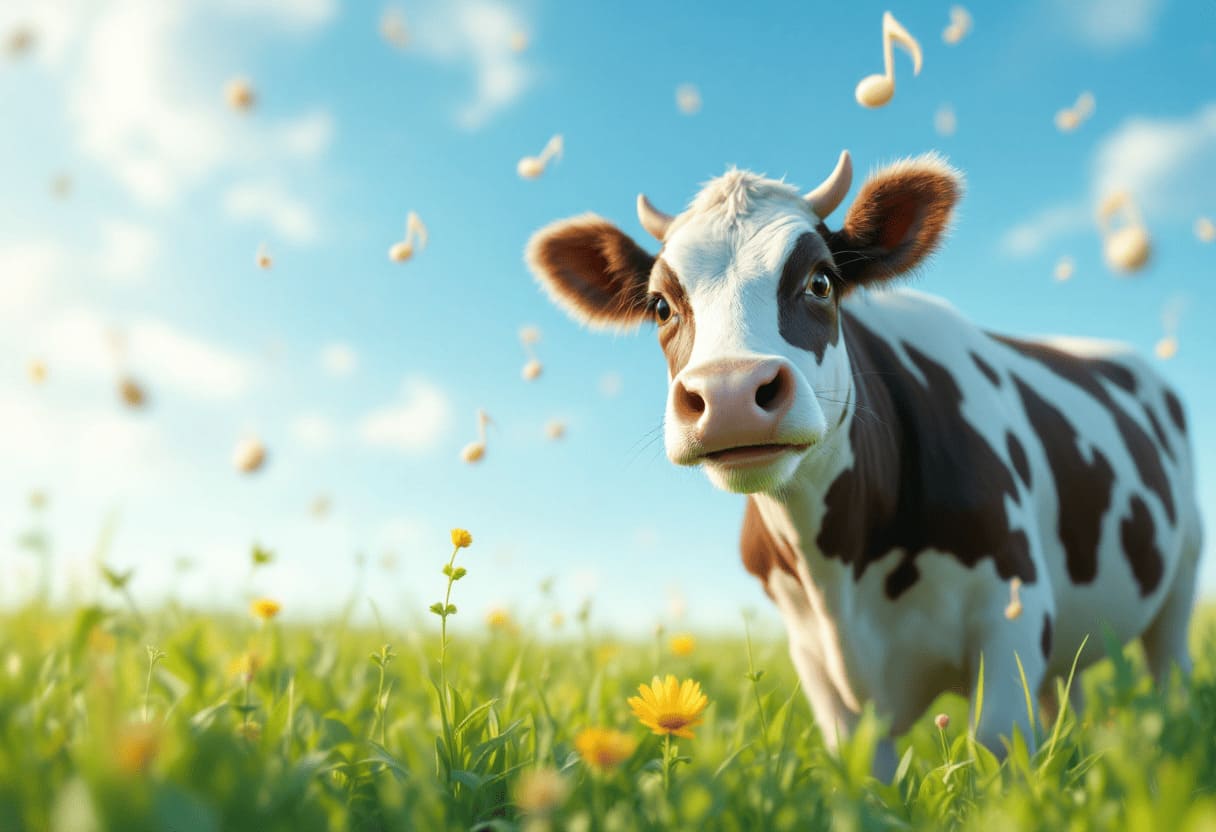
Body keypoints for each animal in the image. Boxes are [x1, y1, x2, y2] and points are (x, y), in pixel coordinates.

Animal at [525, 151, 1202, 777]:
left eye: (821, 282)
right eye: (662, 306)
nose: (730, 394)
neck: (840, 569)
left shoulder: (1014, 609)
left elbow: (997, 746)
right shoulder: (815, 660)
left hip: (1180, 582)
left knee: (1169, 679)